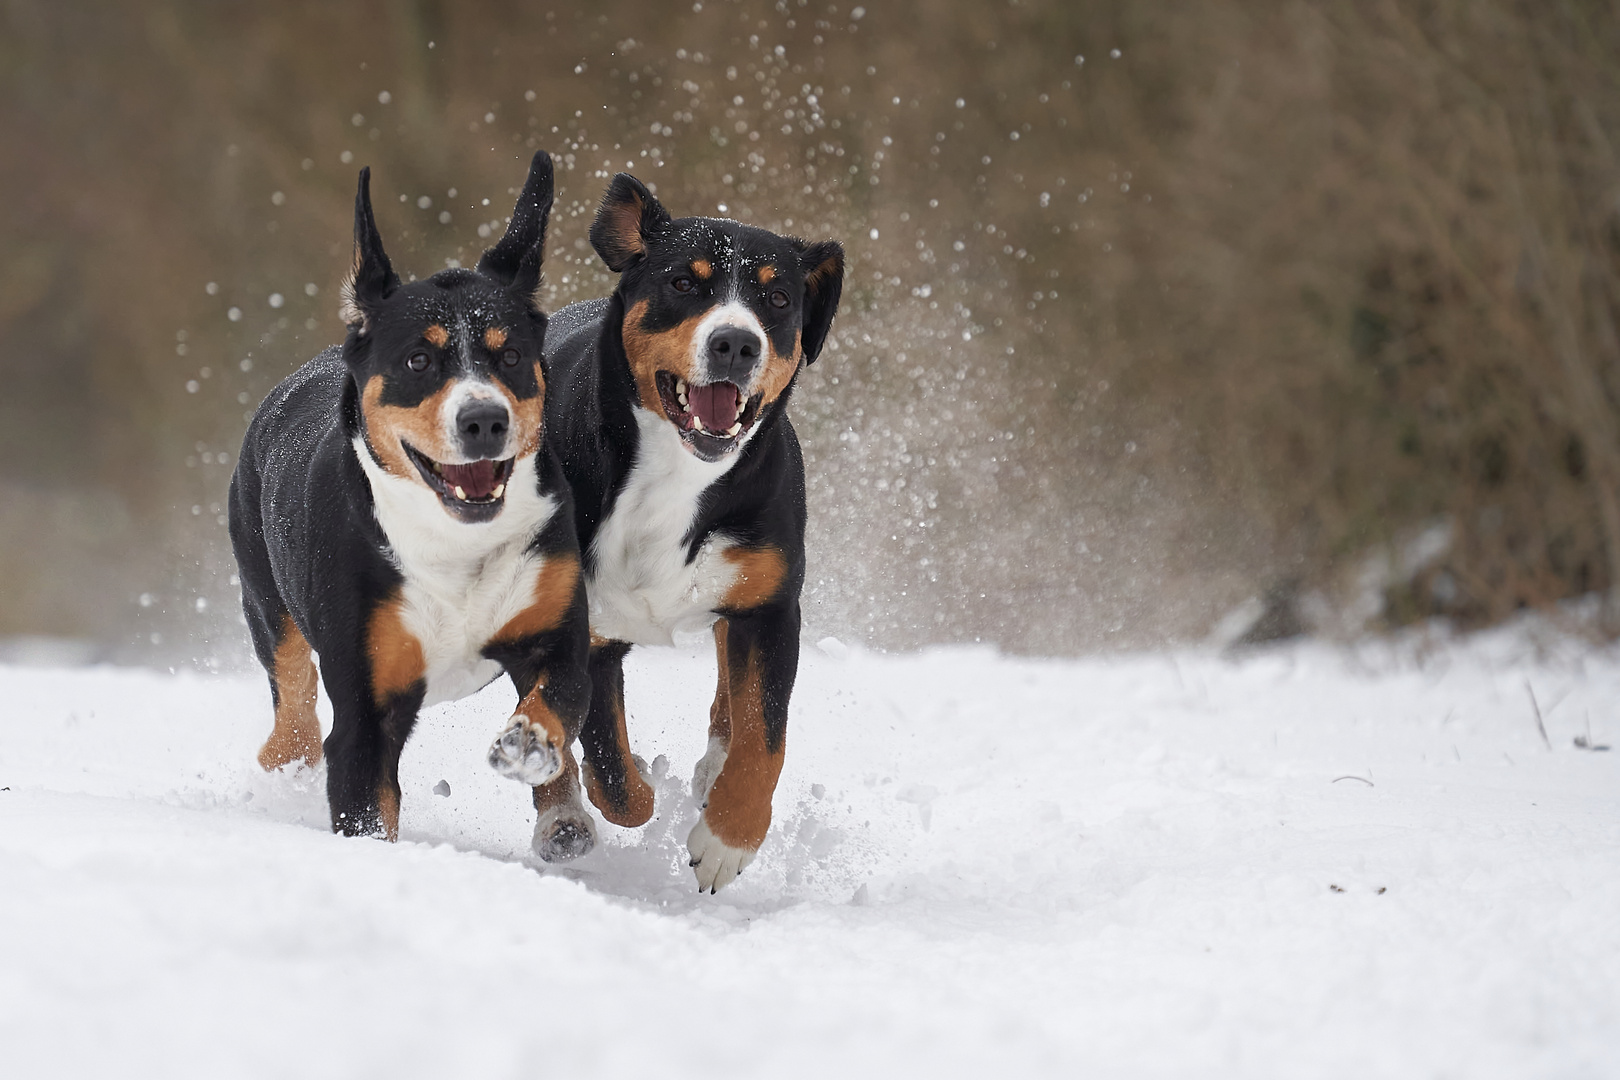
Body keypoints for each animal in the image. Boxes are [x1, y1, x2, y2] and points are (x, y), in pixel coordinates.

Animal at [228, 152, 602, 861]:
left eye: (511, 354)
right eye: (420, 359)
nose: (483, 419)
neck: (454, 545)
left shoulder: (554, 631)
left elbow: (560, 701)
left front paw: (539, 768)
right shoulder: (367, 706)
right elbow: (365, 805)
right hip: (265, 600)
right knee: (291, 710)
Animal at [544, 173, 848, 893]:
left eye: (776, 297)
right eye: (684, 282)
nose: (736, 343)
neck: (675, 476)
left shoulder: (770, 605)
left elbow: (764, 734)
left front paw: (727, 838)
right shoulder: (590, 628)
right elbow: (613, 774)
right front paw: (636, 786)